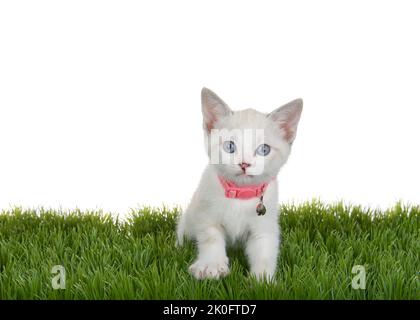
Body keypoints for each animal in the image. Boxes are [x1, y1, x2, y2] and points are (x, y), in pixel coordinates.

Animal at [176, 87, 302, 280]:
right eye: (229, 146)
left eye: (264, 149)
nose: (244, 164)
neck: (240, 196)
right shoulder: (206, 215)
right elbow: (210, 238)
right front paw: (211, 265)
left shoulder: (265, 225)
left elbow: (265, 250)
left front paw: (262, 279)